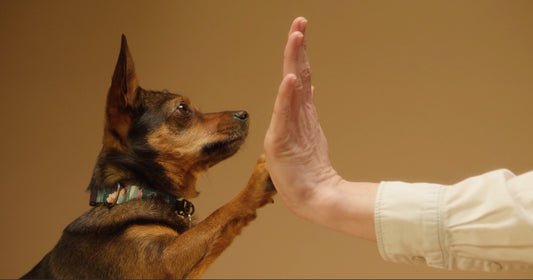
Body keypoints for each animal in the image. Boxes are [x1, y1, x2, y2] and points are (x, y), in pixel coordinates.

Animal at [21, 36, 276, 278]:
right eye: (183, 109)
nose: (244, 114)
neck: (133, 190)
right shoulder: (163, 260)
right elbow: (219, 214)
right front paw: (257, 182)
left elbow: (222, 228)